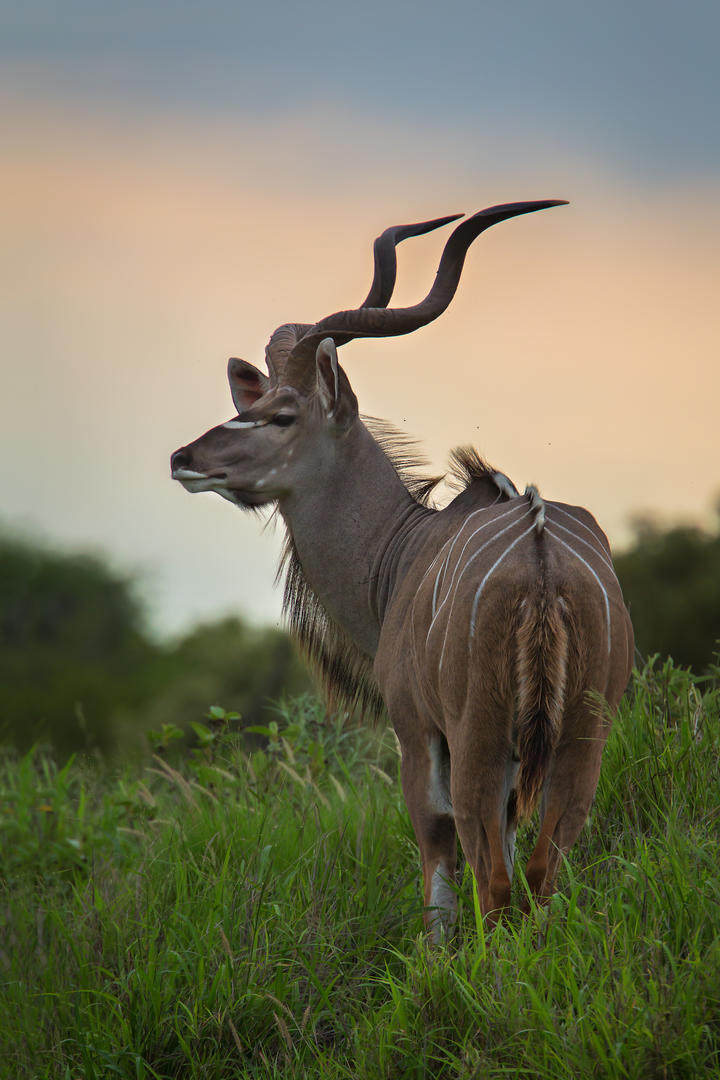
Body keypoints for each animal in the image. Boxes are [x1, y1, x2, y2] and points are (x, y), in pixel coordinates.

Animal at [171, 201, 634, 940]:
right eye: (255, 403)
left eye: (280, 415)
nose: (184, 457)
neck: (400, 548)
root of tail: (541, 567)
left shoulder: (417, 730)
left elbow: (437, 851)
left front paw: (433, 959)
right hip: (581, 736)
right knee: (542, 865)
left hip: (480, 737)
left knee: (492, 871)